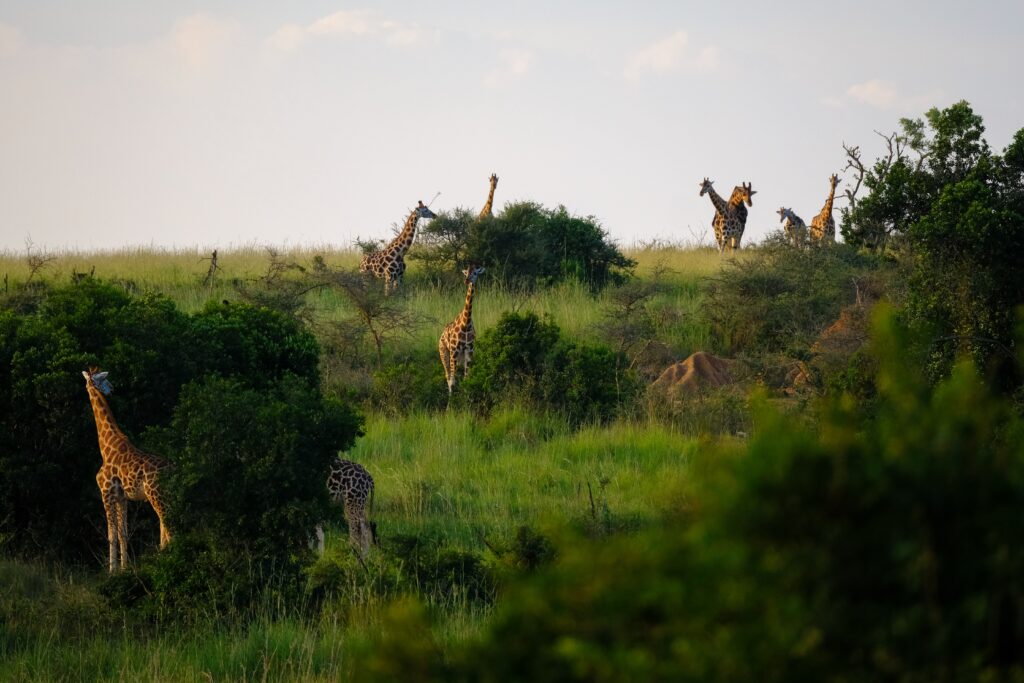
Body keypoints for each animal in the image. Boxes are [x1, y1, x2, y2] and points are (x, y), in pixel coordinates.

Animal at [82, 368, 171, 573]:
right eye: (104, 380)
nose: (112, 389)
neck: (106, 446)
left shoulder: (106, 493)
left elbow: (111, 534)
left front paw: (112, 571)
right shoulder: (122, 497)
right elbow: (123, 533)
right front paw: (124, 568)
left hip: (156, 495)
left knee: (169, 524)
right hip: (164, 496)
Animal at [438, 266, 485, 395]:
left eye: (475, 273)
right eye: (466, 273)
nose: (467, 281)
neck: (466, 324)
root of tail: (441, 336)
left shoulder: (469, 350)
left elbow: (466, 378)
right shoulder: (454, 351)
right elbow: (452, 381)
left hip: (460, 356)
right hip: (444, 353)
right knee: (448, 376)